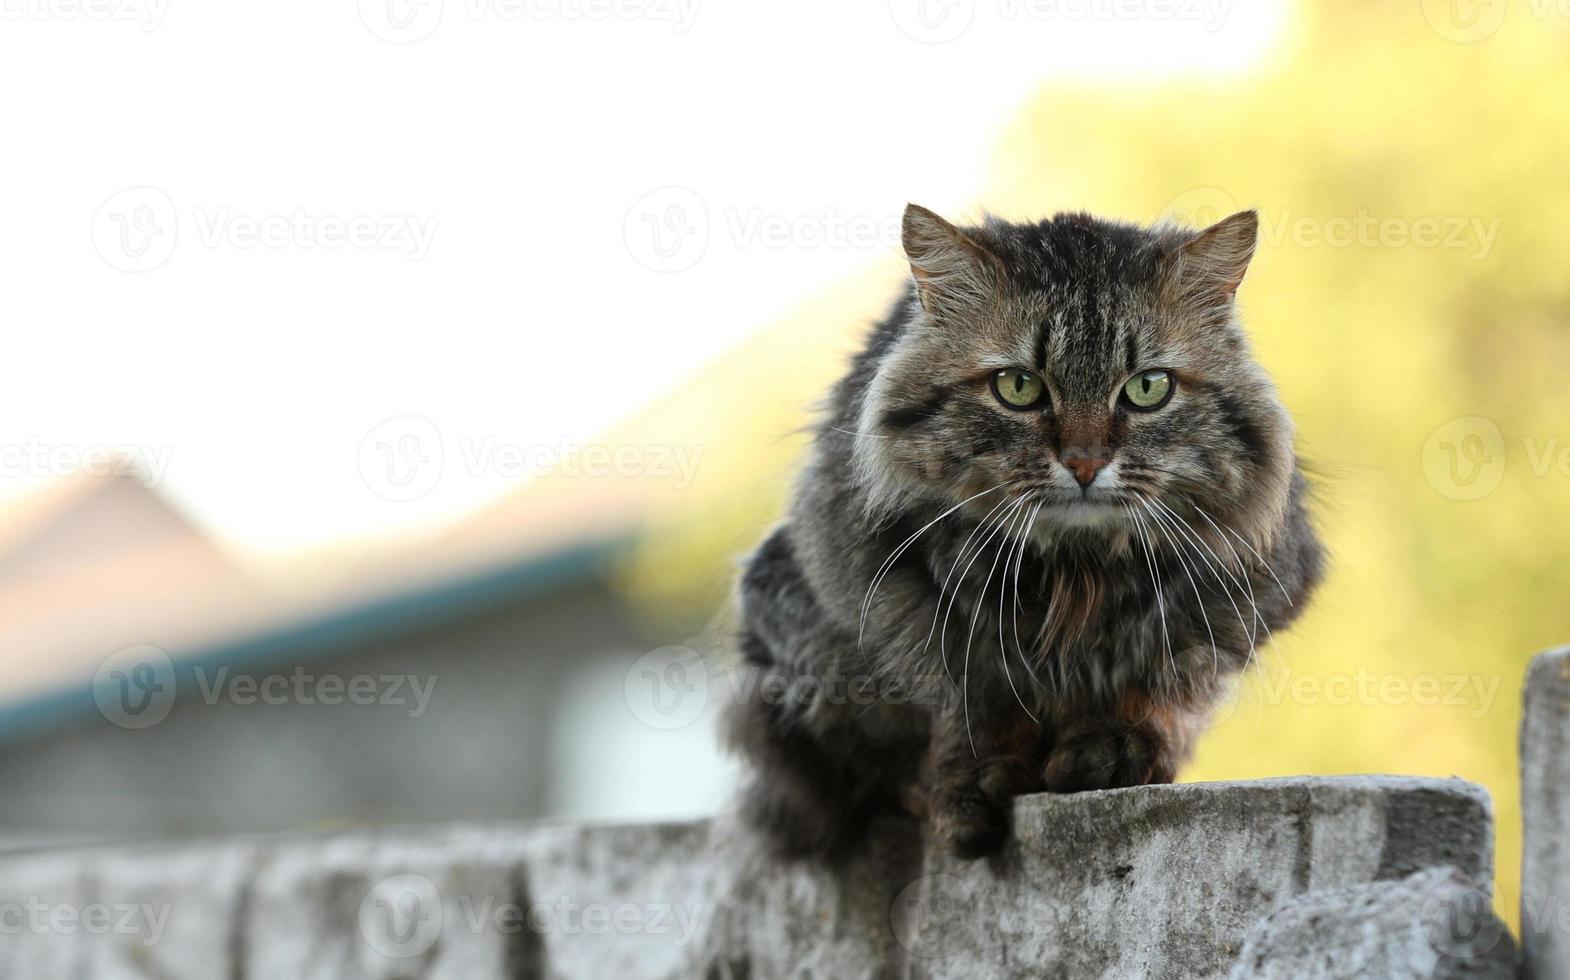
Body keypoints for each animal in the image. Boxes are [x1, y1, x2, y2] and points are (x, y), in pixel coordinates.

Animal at [725, 204, 1325, 854]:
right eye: (1018, 387)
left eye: (1148, 388)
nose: (1085, 464)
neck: (1073, 572)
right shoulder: (869, 596)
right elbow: (964, 699)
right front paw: (972, 781)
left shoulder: (1235, 594)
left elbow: (1158, 682)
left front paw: (1116, 746)